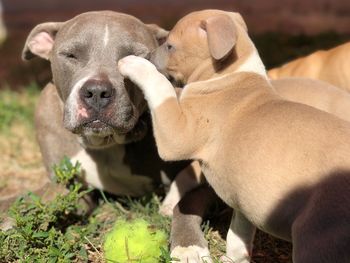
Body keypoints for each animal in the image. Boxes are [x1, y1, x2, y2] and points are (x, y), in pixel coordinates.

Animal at [118, 9, 350, 263]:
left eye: (170, 46)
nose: (147, 55)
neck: (229, 76)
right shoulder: (244, 199)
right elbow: (238, 234)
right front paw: (232, 258)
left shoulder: (176, 134)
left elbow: (161, 88)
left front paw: (134, 64)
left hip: (316, 235)